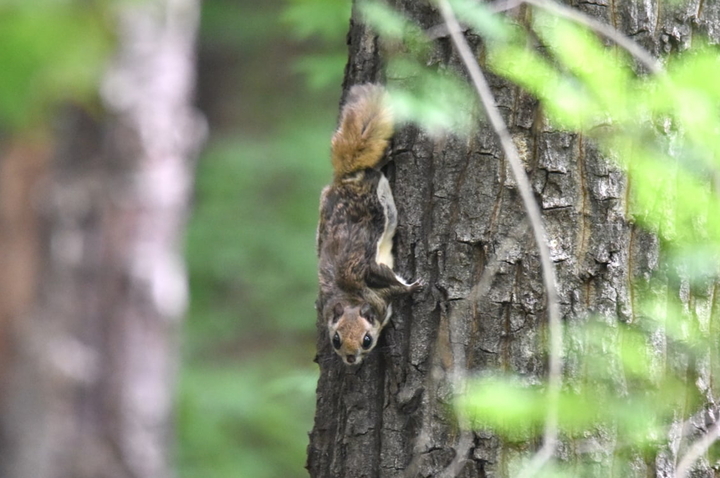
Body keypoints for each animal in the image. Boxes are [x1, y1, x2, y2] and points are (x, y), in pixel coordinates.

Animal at [316, 83, 422, 366]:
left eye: (367, 340)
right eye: (336, 339)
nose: (351, 359)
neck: (351, 297)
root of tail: (347, 178)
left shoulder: (378, 287)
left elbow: (392, 282)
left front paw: (412, 287)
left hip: (377, 199)